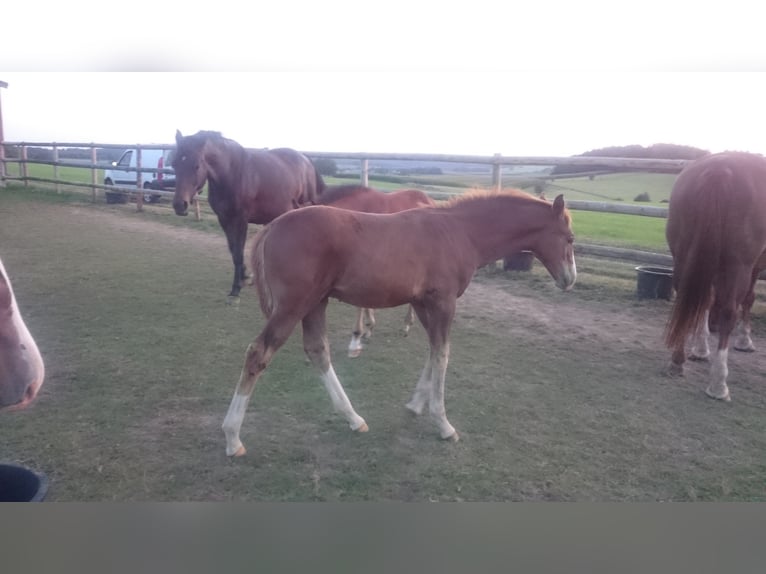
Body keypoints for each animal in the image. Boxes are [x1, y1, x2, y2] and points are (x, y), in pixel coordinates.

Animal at [172, 130, 326, 302]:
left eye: (196, 165)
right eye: (174, 164)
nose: (180, 205)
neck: (231, 173)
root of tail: (307, 161)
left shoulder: (240, 220)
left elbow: (238, 253)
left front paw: (236, 289)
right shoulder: (224, 219)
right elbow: (233, 251)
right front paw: (244, 277)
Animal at [664, 153, 766, 404]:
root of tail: (720, 168)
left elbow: (707, 300)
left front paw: (701, 349)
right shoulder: (753, 266)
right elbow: (748, 299)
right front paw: (745, 341)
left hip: (683, 253)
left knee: (687, 296)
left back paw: (677, 361)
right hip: (738, 264)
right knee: (730, 310)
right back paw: (719, 384)